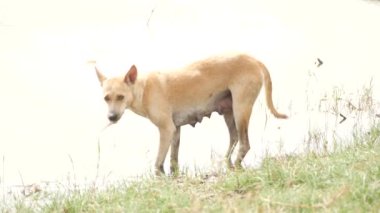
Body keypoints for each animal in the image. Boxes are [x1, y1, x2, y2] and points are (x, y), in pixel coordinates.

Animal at [95, 53, 288, 175]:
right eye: (106, 98)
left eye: (121, 97)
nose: (111, 117)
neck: (143, 89)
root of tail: (253, 59)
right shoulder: (175, 131)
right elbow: (173, 159)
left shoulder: (166, 130)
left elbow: (158, 163)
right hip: (229, 113)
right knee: (234, 139)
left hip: (241, 109)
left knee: (244, 144)